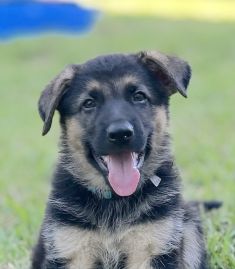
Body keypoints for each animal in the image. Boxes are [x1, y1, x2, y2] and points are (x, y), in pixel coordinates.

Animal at [31, 51, 209, 266]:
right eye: (89, 103)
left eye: (139, 96)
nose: (120, 134)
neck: (115, 200)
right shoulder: (73, 251)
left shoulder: (151, 248)